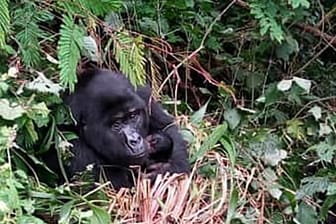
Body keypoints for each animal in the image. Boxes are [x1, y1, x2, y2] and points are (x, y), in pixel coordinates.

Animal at [48, 68, 189, 189]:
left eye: (132, 116)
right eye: (116, 125)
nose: (135, 140)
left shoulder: (143, 93)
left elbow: (167, 126)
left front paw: (168, 166)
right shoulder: (72, 144)